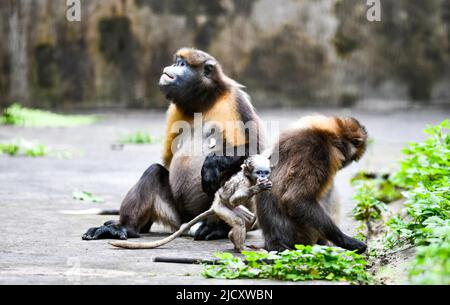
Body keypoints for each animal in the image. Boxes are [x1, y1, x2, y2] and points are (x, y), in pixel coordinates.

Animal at [82, 48, 266, 240]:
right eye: (177, 62)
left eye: (182, 64)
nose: (173, 66)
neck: (203, 103)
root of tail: (190, 220)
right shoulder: (174, 110)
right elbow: (166, 163)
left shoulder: (235, 100)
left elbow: (256, 149)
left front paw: (211, 163)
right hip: (176, 215)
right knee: (153, 172)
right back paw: (124, 227)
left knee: (234, 172)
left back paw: (218, 228)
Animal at [110, 153, 270, 251]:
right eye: (259, 172)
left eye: (266, 172)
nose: (263, 177)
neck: (249, 178)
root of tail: (214, 205)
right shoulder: (244, 182)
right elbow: (234, 198)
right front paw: (258, 188)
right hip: (220, 208)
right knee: (238, 220)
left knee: (249, 218)